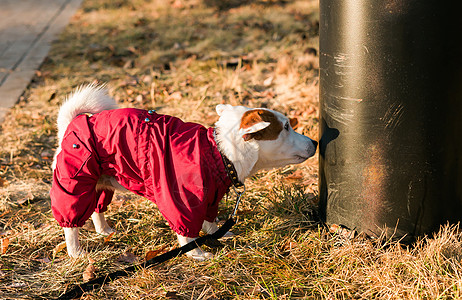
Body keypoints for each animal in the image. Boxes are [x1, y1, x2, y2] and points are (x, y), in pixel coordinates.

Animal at [50, 84, 318, 260]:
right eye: (286, 127)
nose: (315, 142)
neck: (219, 152)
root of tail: (72, 124)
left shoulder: (211, 198)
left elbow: (210, 221)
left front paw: (218, 234)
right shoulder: (181, 202)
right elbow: (187, 234)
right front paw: (197, 253)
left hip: (101, 183)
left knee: (97, 208)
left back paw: (104, 230)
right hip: (75, 183)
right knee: (71, 223)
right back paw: (76, 252)